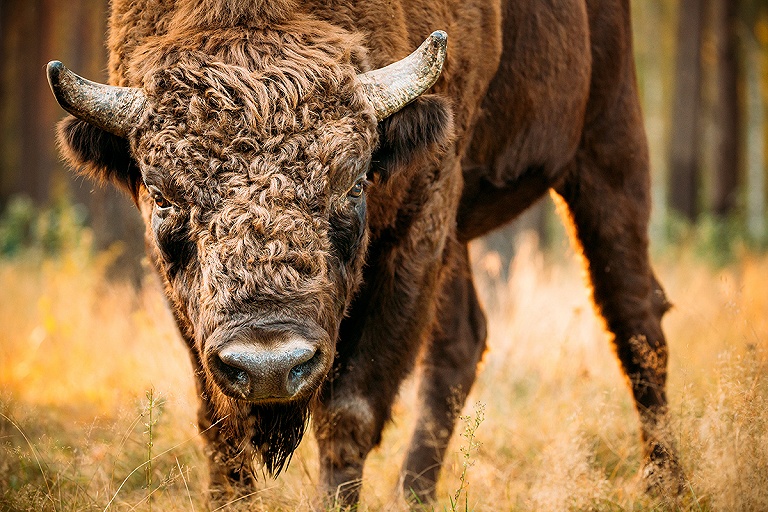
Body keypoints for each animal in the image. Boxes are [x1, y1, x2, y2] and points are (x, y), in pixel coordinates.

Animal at [48, 0, 680, 506]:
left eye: (353, 186)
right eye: (161, 195)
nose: (269, 364)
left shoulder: (421, 217)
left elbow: (349, 412)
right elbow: (223, 427)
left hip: (607, 147)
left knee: (634, 316)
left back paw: (665, 485)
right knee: (463, 339)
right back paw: (414, 498)